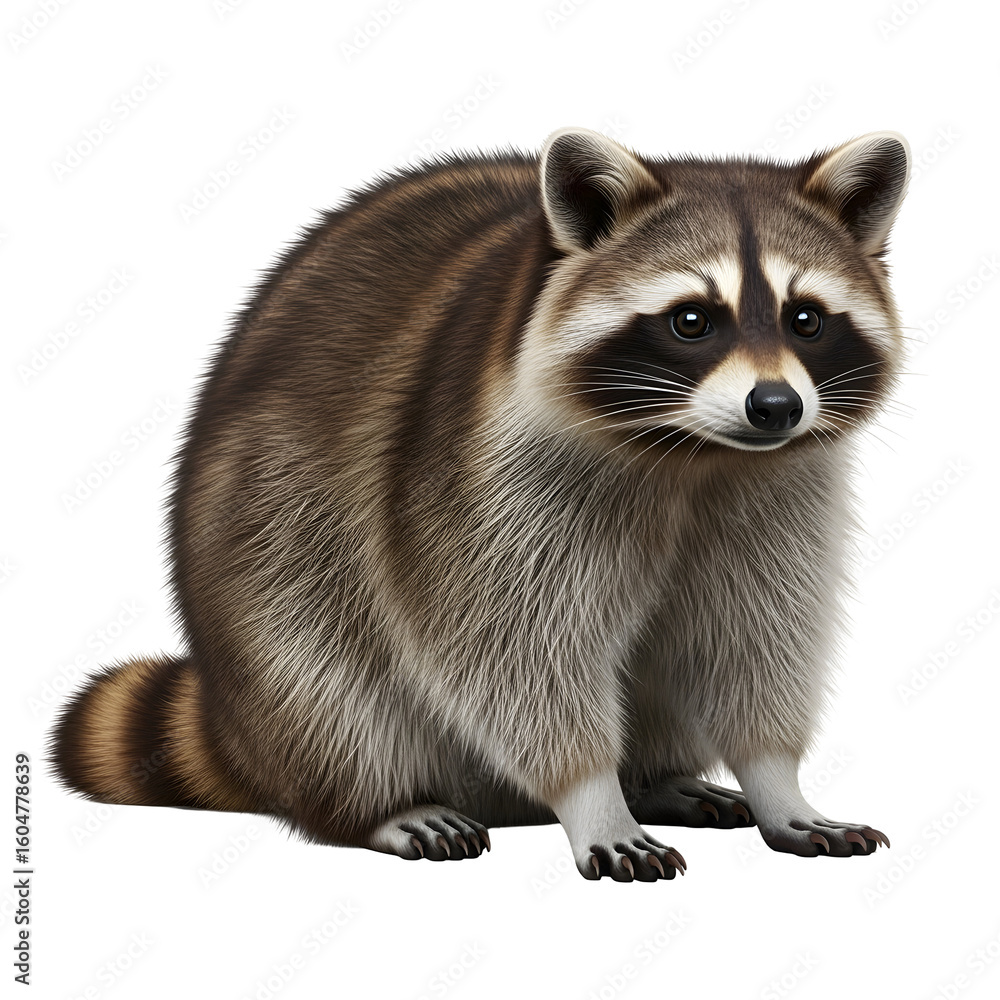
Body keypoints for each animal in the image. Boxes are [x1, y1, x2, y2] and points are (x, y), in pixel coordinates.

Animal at [51, 127, 908, 881]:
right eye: (692, 319)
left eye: (806, 318)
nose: (776, 407)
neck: (695, 457)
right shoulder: (481, 479)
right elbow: (509, 648)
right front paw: (592, 797)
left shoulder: (778, 492)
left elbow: (758, 635)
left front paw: (776, 780)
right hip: (263, 553)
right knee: (320, 681)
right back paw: (384, 803)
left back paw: (658, 777)